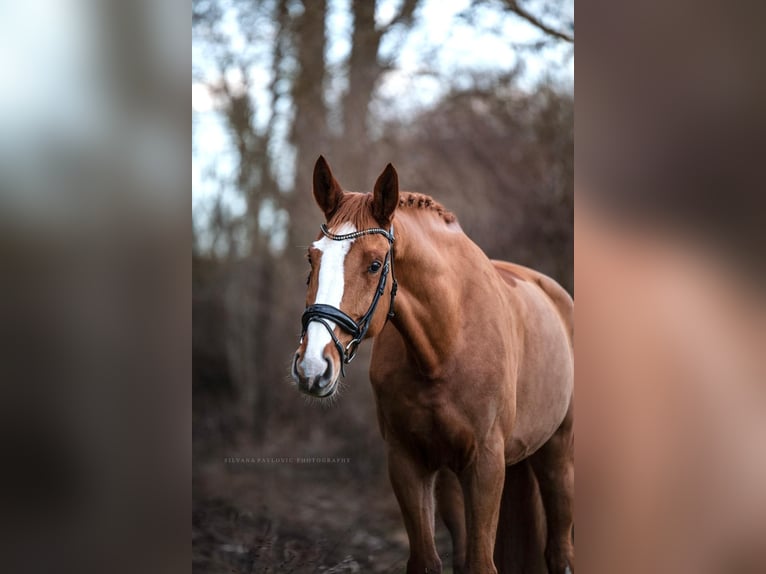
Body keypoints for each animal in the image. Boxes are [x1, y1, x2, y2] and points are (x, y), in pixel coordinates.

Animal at [294, 158, 576, 574]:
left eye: (375, 265)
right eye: (311, 259)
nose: (312, 366)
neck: (445, 346)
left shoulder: (486, 465)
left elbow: (481, 564)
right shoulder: (407, 462)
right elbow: (428, 561)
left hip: (558, 455)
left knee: (559, 552)